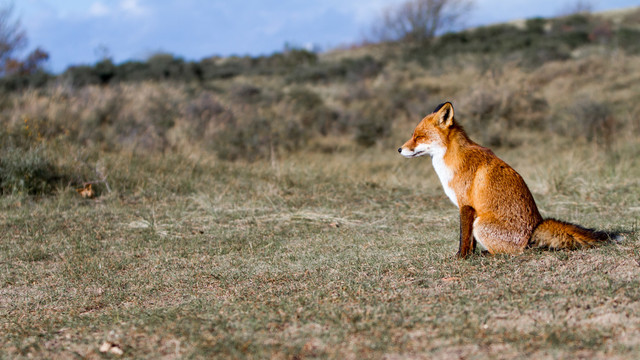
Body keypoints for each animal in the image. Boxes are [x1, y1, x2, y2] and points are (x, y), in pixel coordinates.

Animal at [398, 102, 624, 258]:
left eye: (419, 137)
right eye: (413, 135)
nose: (399, 149)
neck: (451, 159)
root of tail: (533, 231)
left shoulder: (466, 206)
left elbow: (464, 239)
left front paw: (460, 258)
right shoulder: (470, 209)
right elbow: (469, 242)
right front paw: (468, 256)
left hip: (481, 224)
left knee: (511, 252)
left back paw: (488, 255)